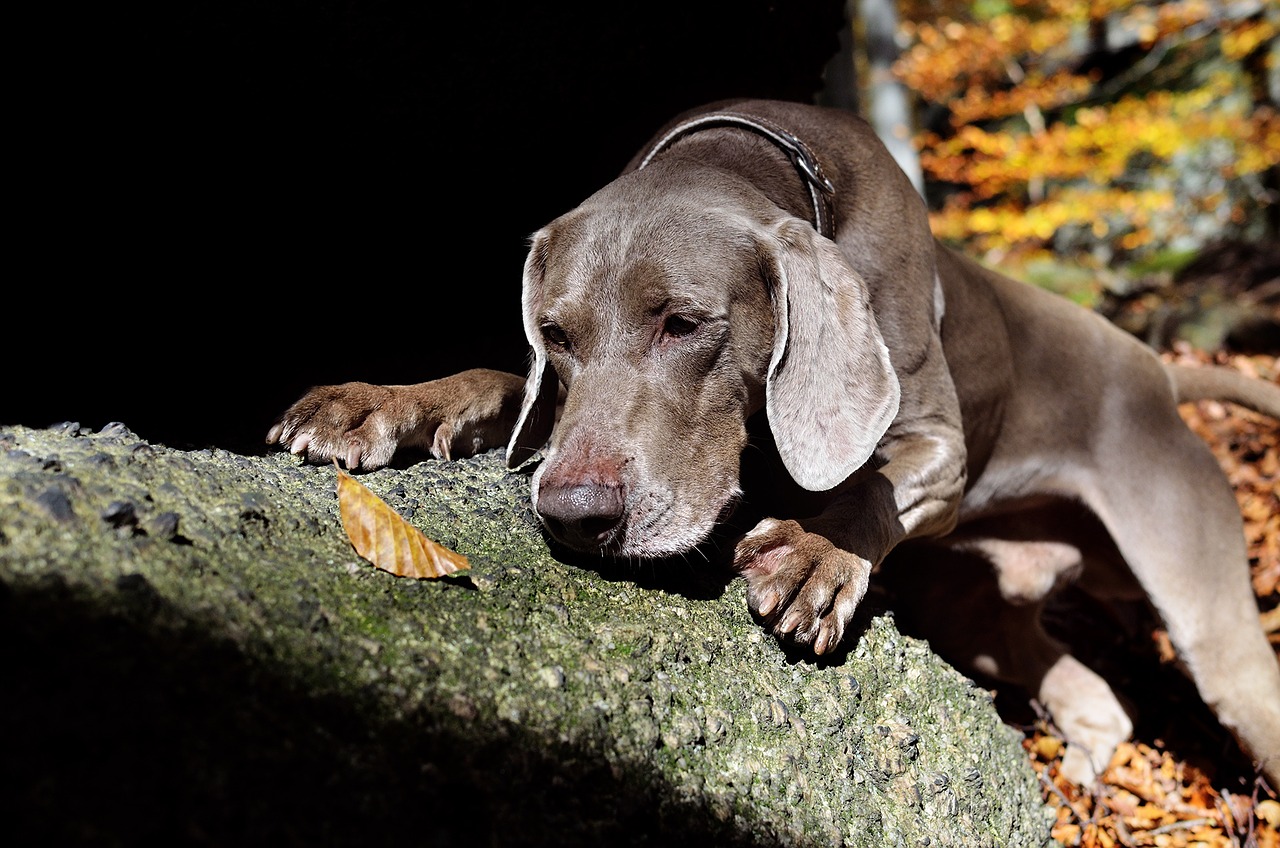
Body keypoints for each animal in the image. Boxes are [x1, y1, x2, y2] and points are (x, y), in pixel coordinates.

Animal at [264, 96, 1274, 789]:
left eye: (683, 324)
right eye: (555, 333)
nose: (576, 515)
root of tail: (1157, 370)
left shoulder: (937, 443)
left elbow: (870, 484)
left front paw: (812, 555)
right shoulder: (556, 405)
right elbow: (503, 389)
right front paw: (374, 404)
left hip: (1211, 622)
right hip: (977, 604)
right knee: (1065, 676)